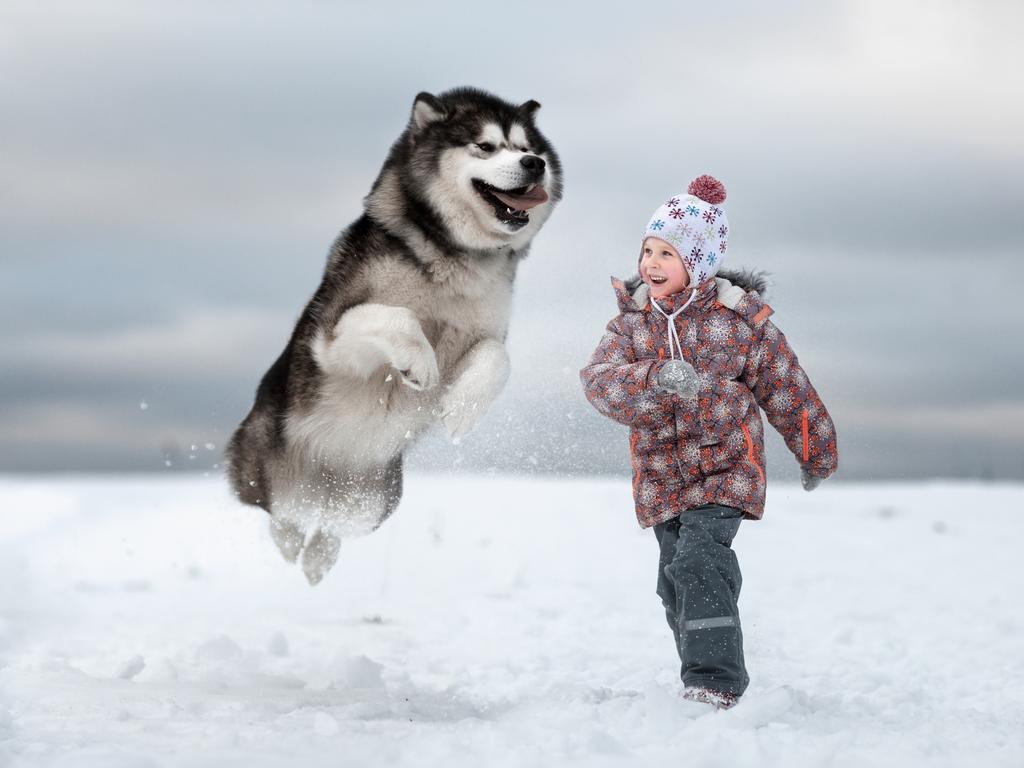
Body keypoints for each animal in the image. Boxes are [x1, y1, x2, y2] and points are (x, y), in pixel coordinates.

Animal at [227, 87, 565, 585]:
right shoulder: (332, 334)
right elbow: (397, 316)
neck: (451, 256)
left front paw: (461, 408)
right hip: (267, 468)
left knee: (331, 528)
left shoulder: (485, 331)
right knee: (282, 516)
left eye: (528, 147)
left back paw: (317, 561)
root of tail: (327, 478)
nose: (533, 164)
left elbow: (497, 359)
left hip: (372, 502)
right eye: (485, 146)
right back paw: (291, 549)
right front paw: (418, 363)